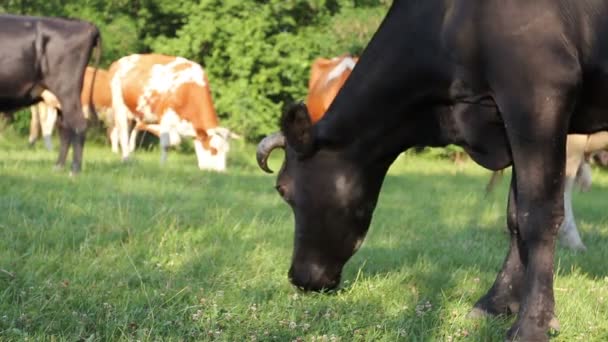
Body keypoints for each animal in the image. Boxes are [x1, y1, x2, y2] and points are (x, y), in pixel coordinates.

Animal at [0, 14, 101, 174]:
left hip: (67, 90)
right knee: (65, 127)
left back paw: (74, 170)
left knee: (79, 124)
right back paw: (58, 167)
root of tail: (85, 24)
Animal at [256, 2, 608, 340]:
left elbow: (538, 214)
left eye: (283, 189)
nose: (298, 277)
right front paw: (495, 302)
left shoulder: (537, 92)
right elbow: (514, 216)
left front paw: (533, 323)